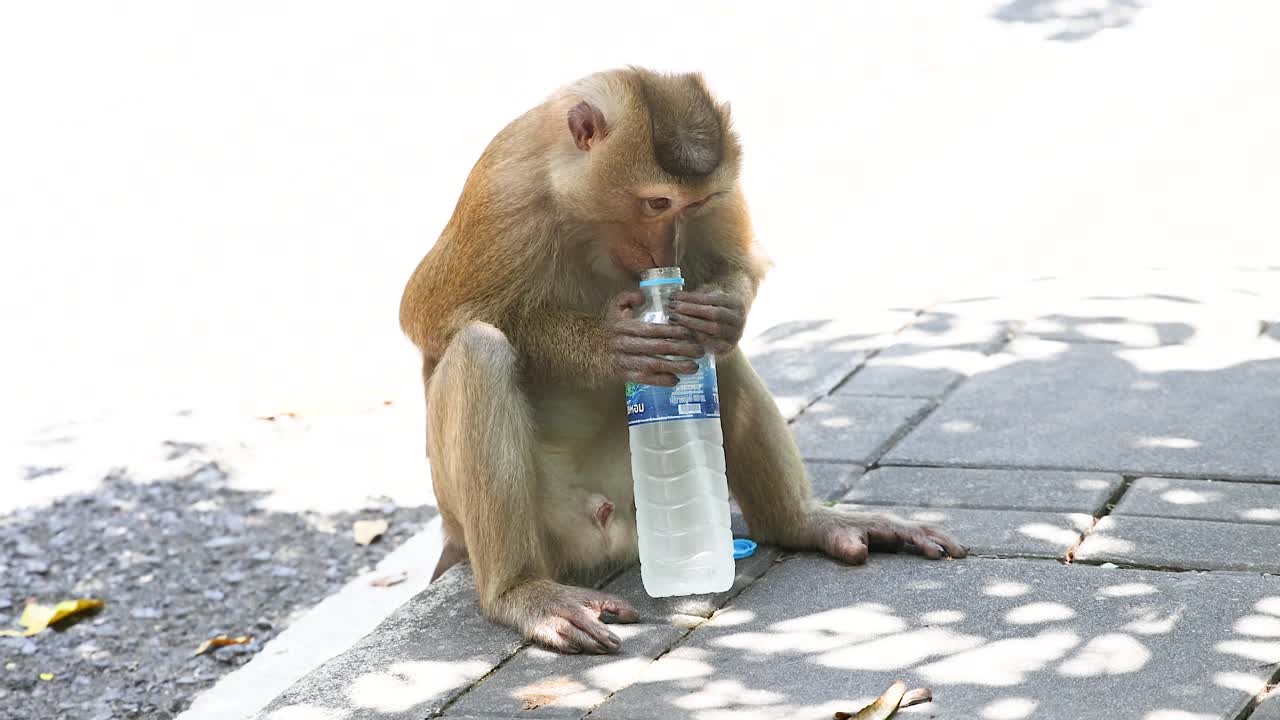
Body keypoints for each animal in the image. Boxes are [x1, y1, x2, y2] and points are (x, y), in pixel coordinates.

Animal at [400, 67, 966, 655]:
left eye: (692, 206)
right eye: (656, 203)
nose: (664, 253)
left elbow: (737, 270)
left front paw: (722, 313)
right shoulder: (505, 192)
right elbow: (429, 316)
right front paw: (611, 342)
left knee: (721, 356)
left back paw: (801, 522)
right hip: (523, 519)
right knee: (478, 349)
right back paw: (523, 593)